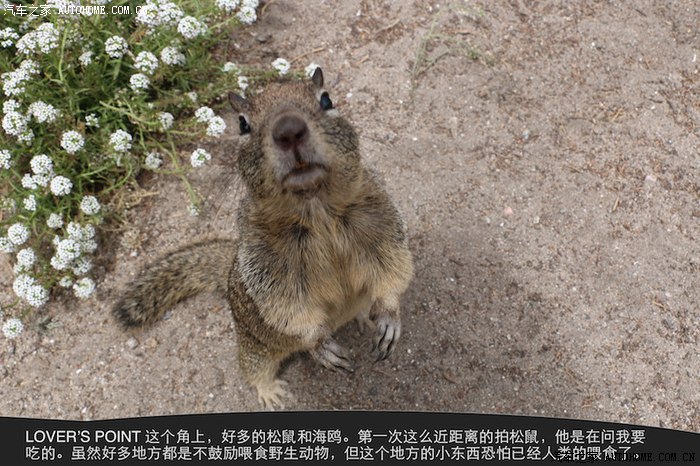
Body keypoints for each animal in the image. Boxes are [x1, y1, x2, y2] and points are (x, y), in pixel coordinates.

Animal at [112, 68, 414, 409]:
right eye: (242, 124)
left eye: (326, 100)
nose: (289, 130)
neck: (316, 210)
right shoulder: (266, 264)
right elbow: (290, 309)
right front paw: (321, 346)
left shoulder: (382, 223)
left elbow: (394, 269)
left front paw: (389, 318)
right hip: (255, 346)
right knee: (251, 368)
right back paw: (271, 392)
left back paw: (364, 318)